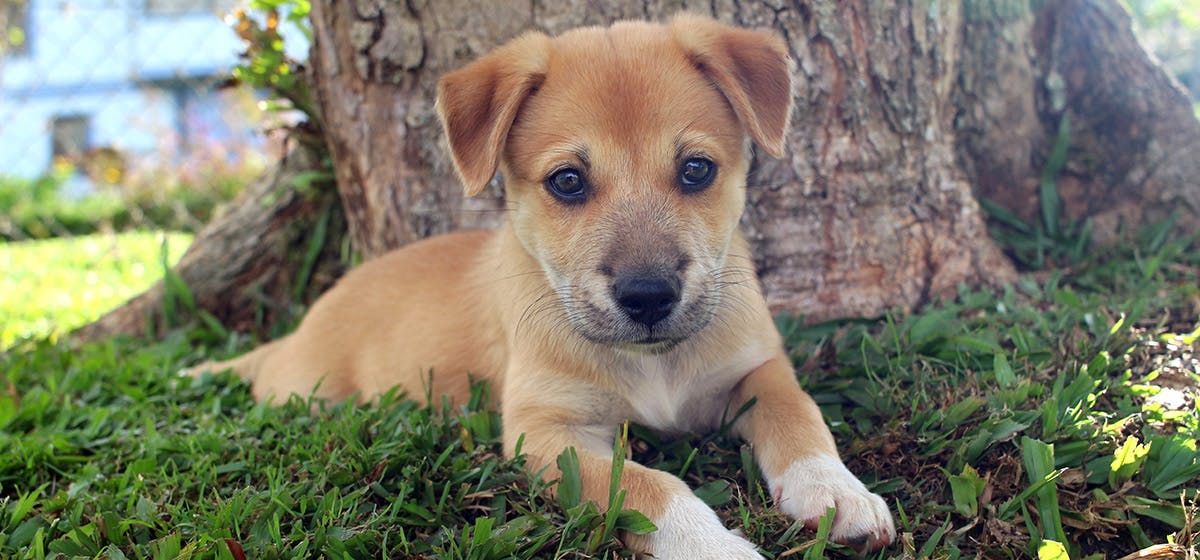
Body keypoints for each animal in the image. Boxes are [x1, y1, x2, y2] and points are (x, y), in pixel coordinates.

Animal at [194, 15, 892, 558]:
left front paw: (835, 491)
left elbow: (800, 417)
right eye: (567, 181)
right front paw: (710, 544)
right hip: (303, 392)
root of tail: (304, 326)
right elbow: (645, 484)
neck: (651, 366)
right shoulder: (548, 434)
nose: (647, 297)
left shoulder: (759, 369)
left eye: (696, 169)